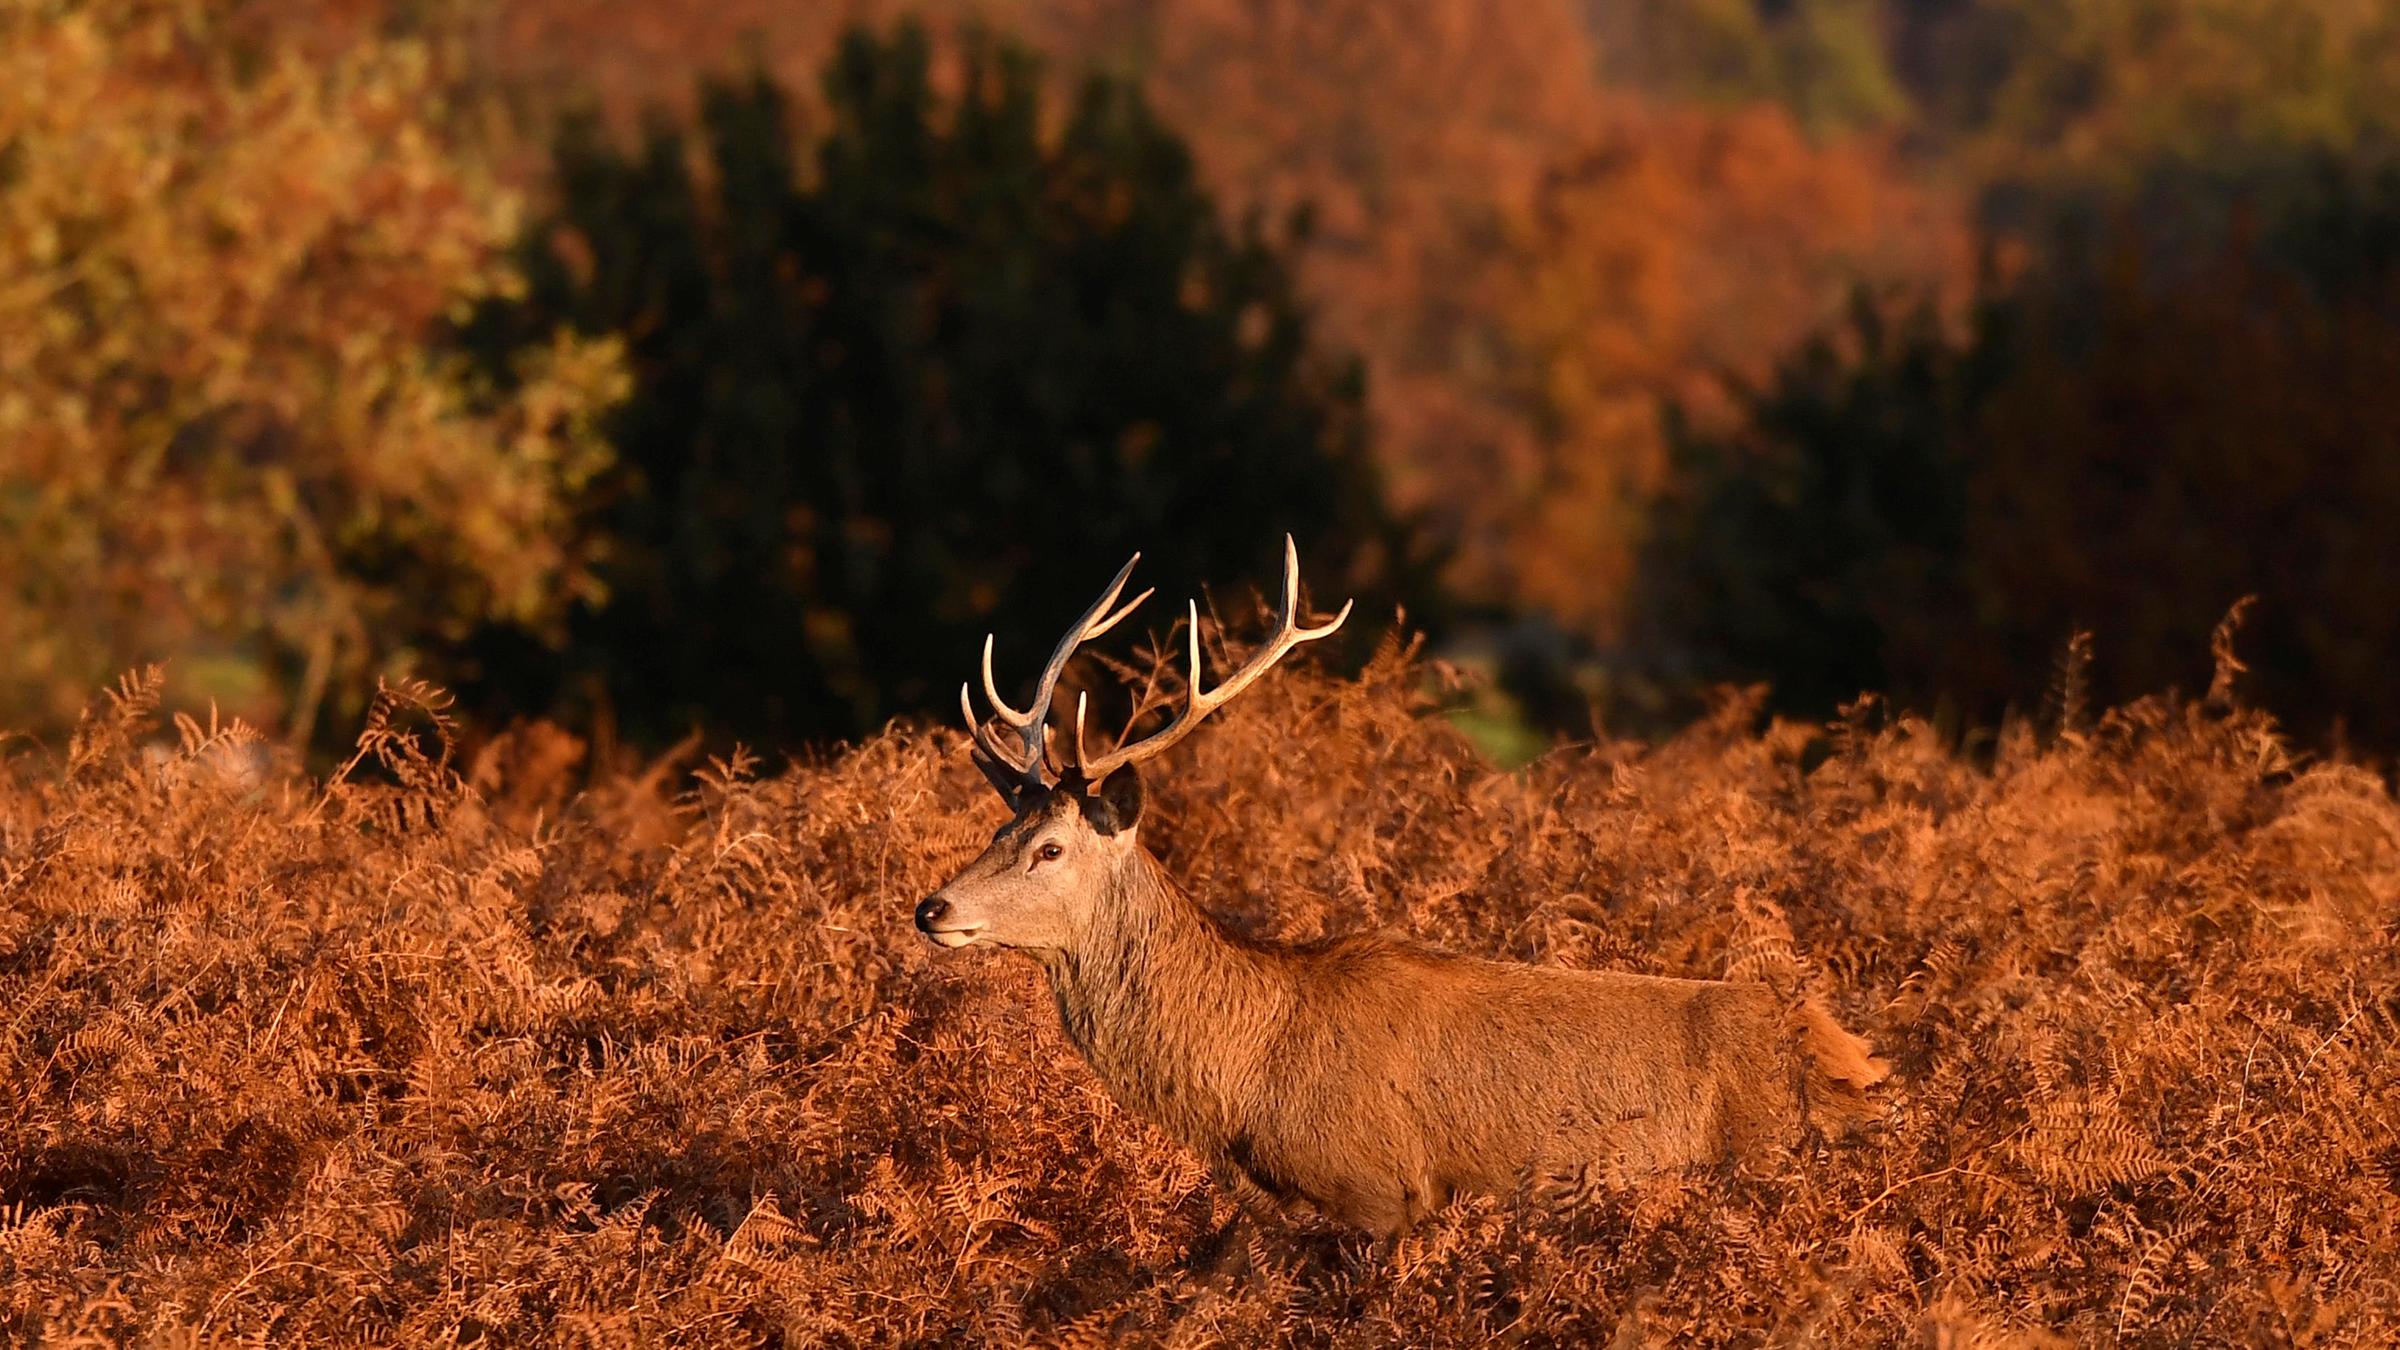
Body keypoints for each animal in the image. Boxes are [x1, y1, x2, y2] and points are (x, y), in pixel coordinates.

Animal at [913, 538, 1888, 1236]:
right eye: (998, 831)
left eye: (1049, 849)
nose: (932, 908)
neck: (1246, 1082)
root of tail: (1863, 1061)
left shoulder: (1380, 1192)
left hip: (1768, 1156)